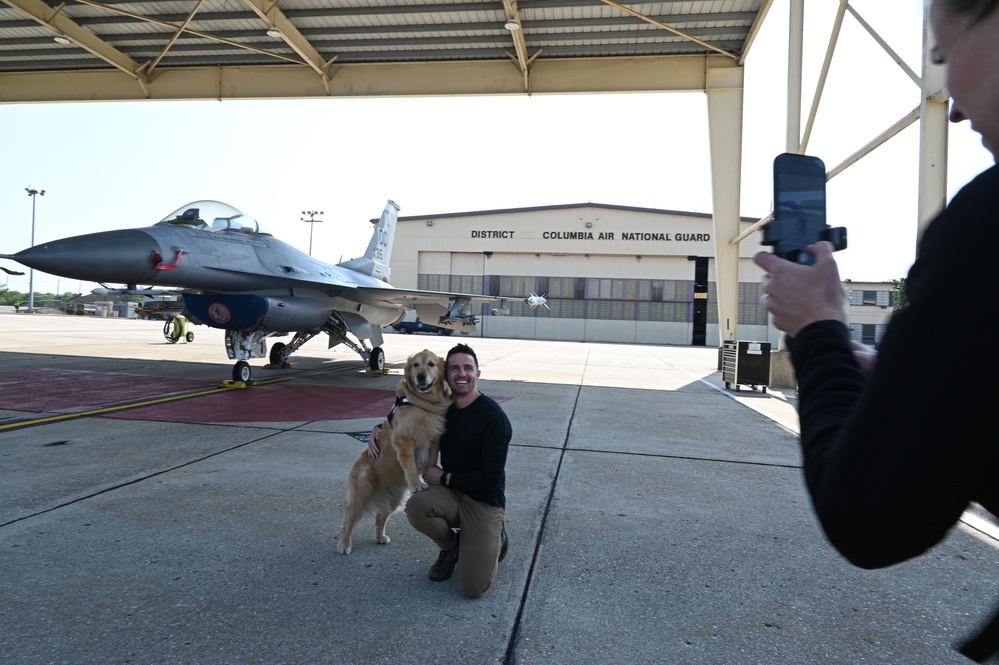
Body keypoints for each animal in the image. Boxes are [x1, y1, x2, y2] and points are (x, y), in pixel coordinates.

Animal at [338, 348, 452, 556]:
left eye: (431, 364)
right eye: (416, 365)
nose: (421, 376)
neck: (424, 404)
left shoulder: (434, 439)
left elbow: (431, 460)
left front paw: (429, 477)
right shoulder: (404, 440)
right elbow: (410, 464)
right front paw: (416, 483)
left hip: (393, 499)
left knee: (380, 517)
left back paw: (380, 537)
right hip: (362, 491)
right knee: (348, 520)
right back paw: (344, 545)